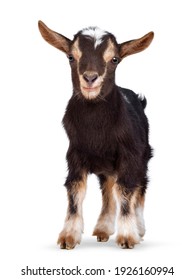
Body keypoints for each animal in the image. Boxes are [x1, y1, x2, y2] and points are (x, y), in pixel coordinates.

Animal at [38, 21, 154, 249]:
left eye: (115, 59)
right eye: (71, 56)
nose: (90, 78)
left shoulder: (130, 154)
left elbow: (126, 189)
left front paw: (127, 237)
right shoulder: (75, 154)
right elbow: (75, 190)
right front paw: (68, 237)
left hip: (144, 155)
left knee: (140, 185)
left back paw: (139, 228)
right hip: (106, 167)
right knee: (108, 187)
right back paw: (103, 229)